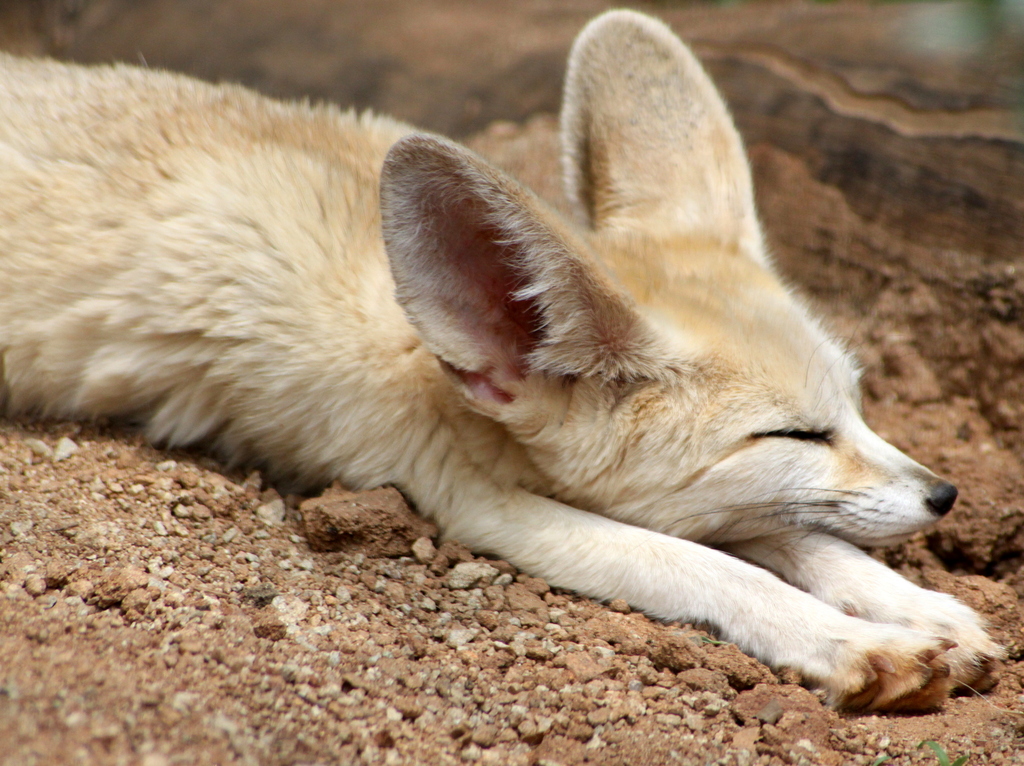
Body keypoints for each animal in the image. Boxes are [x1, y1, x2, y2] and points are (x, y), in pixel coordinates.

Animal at [0, 10, 1002, 711]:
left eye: (857, 404)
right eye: (794, 434)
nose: (945, 495)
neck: (423, 347)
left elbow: (789, 532)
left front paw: (914, 606)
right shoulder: (465, 498)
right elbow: (706, 564)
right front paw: (854, 643)